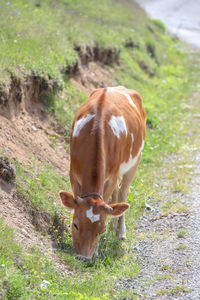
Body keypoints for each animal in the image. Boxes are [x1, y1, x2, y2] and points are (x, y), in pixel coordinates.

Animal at [59, 86, 145, 258]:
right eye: (75, 224)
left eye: (101, 229)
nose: (84, 257)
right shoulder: (73, 172)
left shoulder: (111, 176)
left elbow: (108, 200)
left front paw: (100, 246)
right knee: (118, 194)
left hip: (135, 161)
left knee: (123, 193)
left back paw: (119, 232)